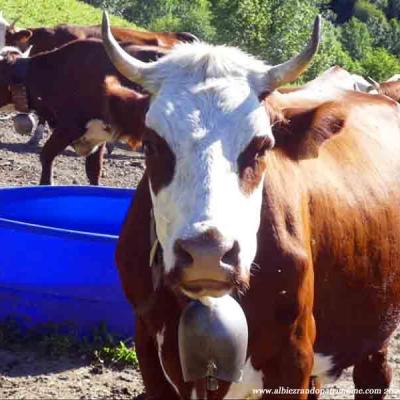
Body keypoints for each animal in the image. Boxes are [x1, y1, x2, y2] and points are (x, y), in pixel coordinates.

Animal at [101, 12, 400, 400]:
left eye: (261, 147)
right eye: (151, 145)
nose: (208, 253)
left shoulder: (294, 354)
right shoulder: (148, 347)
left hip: (377, 327)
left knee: (374, 375)